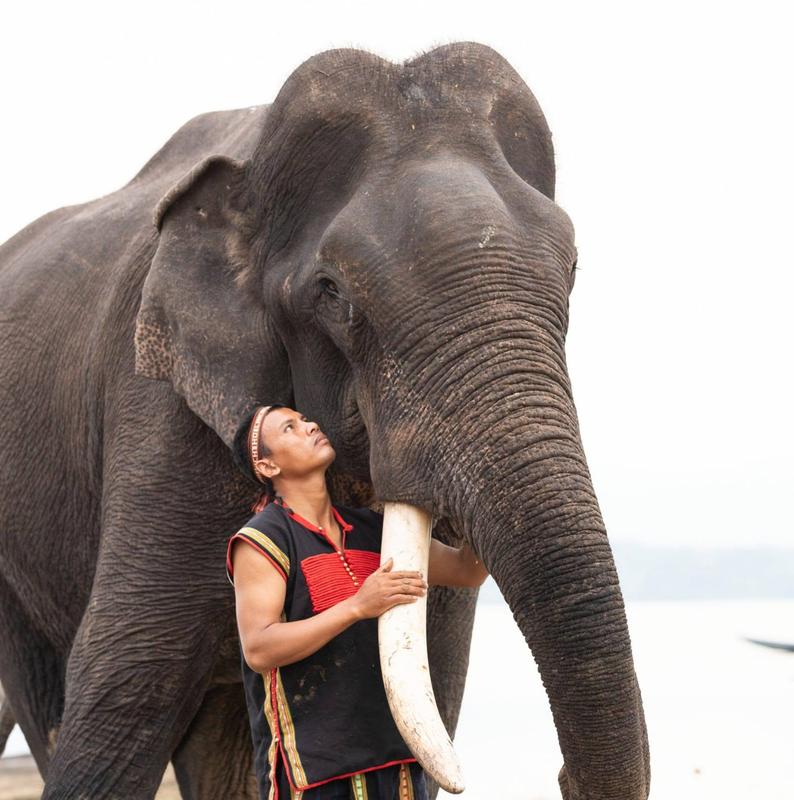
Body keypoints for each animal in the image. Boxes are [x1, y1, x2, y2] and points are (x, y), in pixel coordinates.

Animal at [0, 42, 650, 800]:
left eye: (572, 271)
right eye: (335, 295)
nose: (562, 777)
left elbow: (440, 671)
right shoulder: (157, 415)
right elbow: (124, 688)